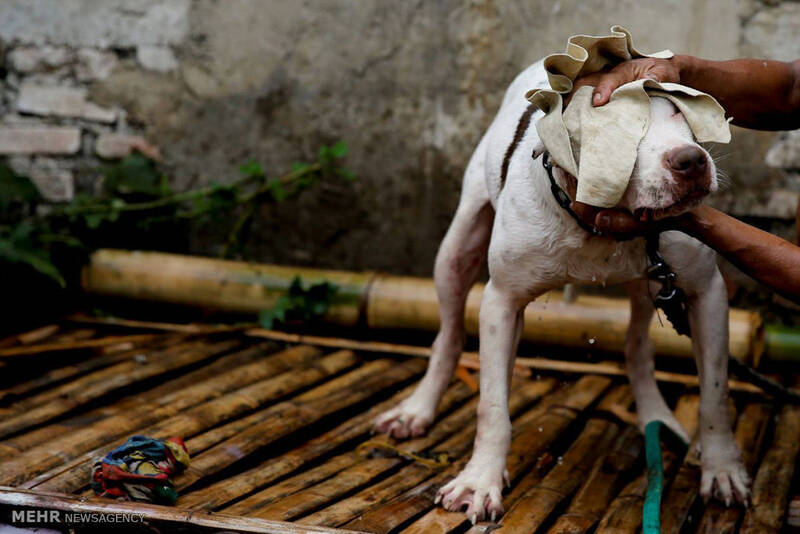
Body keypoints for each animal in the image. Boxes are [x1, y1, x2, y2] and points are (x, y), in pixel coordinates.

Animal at [376, 59, 752, 524]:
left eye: (680, 114)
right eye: (616, 131)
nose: (692, 160)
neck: (597, 228)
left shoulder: (706, 294)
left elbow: (715, 395)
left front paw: (722, 469)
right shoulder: (502, 301)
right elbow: (492, 406)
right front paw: (479, 481)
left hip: (650, 285)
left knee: (637, 346)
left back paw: (654, 416)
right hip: (455, 250)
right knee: (447, 336)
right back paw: (417, 410)